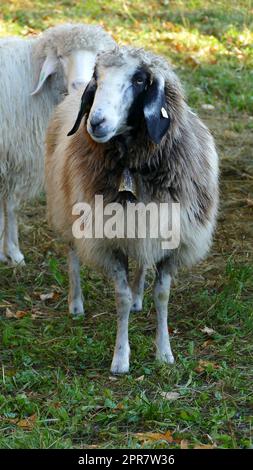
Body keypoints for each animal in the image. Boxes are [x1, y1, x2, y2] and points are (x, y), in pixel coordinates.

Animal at [0, 23, 115, 264]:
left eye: (98, 55)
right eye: (61, 56)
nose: (80, 84)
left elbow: (7, 204)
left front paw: (7, 252)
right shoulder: (13, 156)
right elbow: (9, 205)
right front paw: (10, 252)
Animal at [45, 46, 219, 372]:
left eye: (139, 79)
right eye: (97, 77)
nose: (96, 123)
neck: (134, 166)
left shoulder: (171, 239)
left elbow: (162, 295)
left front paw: (164, 352)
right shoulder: (109, 242)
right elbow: (121, 299)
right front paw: (121, 358)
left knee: (143, 263)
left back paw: (140, 297)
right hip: (65, 207)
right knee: (72, 254)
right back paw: (76, 303)